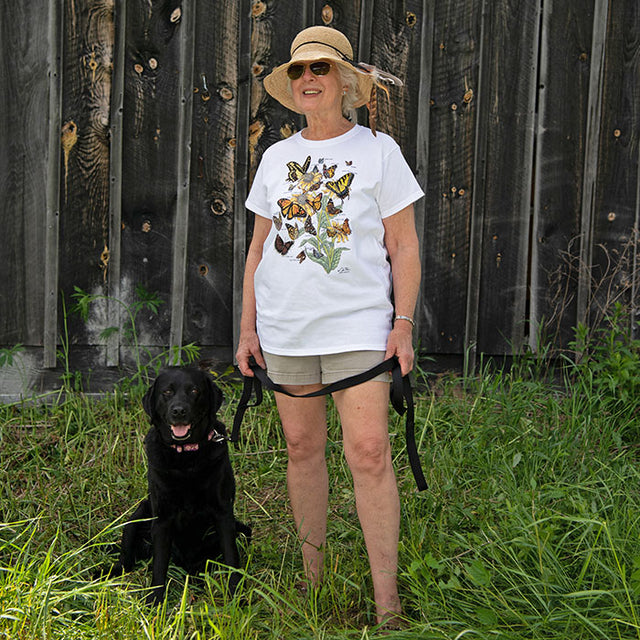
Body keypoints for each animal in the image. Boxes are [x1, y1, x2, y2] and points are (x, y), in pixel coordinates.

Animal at [110, 364, 250, 604]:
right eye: (167, 392)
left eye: (194, 391)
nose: (178, 411)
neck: (186, 459)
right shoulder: (162, 518)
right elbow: (159, 565)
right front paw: (155, 601)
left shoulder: (223, 513)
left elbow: (232, 558)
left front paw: (236, 596)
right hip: (137, 516)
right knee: (126, 559)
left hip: (241, 531)